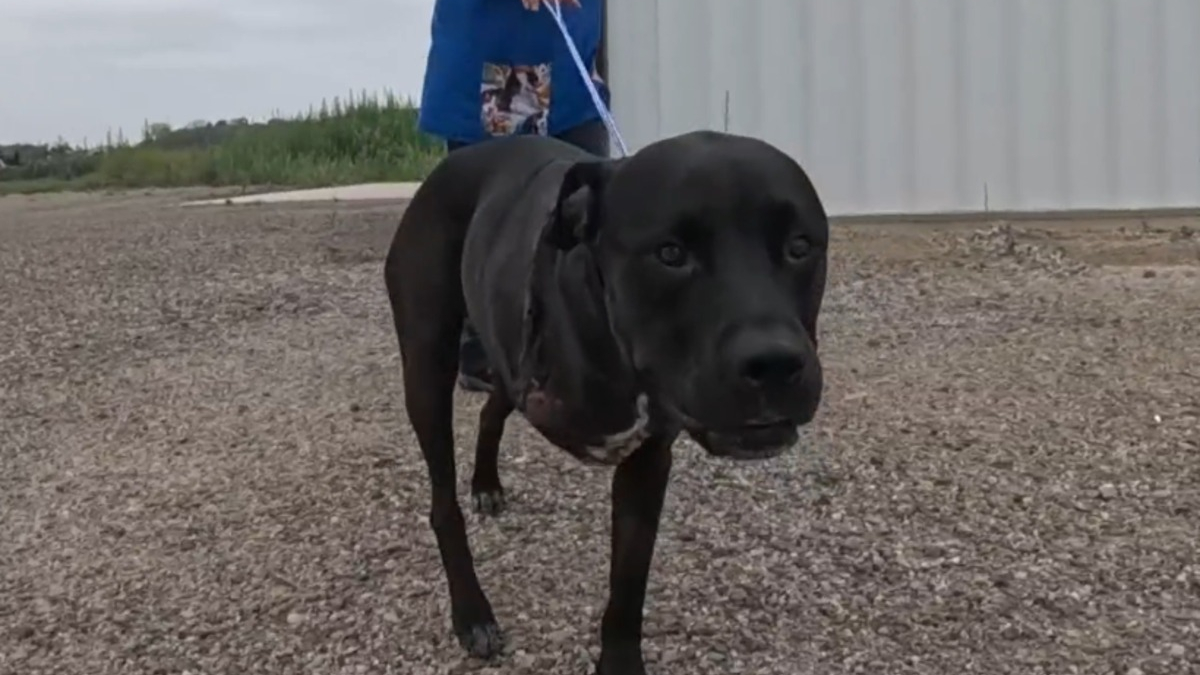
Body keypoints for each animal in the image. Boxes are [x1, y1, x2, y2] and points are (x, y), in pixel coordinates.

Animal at [388, 128, 830, 667]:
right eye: (669, 253)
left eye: (800, 246)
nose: (774, 365)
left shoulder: (648, 463)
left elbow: (628, 584)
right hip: (427, 369)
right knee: (442, 502)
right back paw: (472, 611)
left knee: (494, 408)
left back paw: (486, 482)